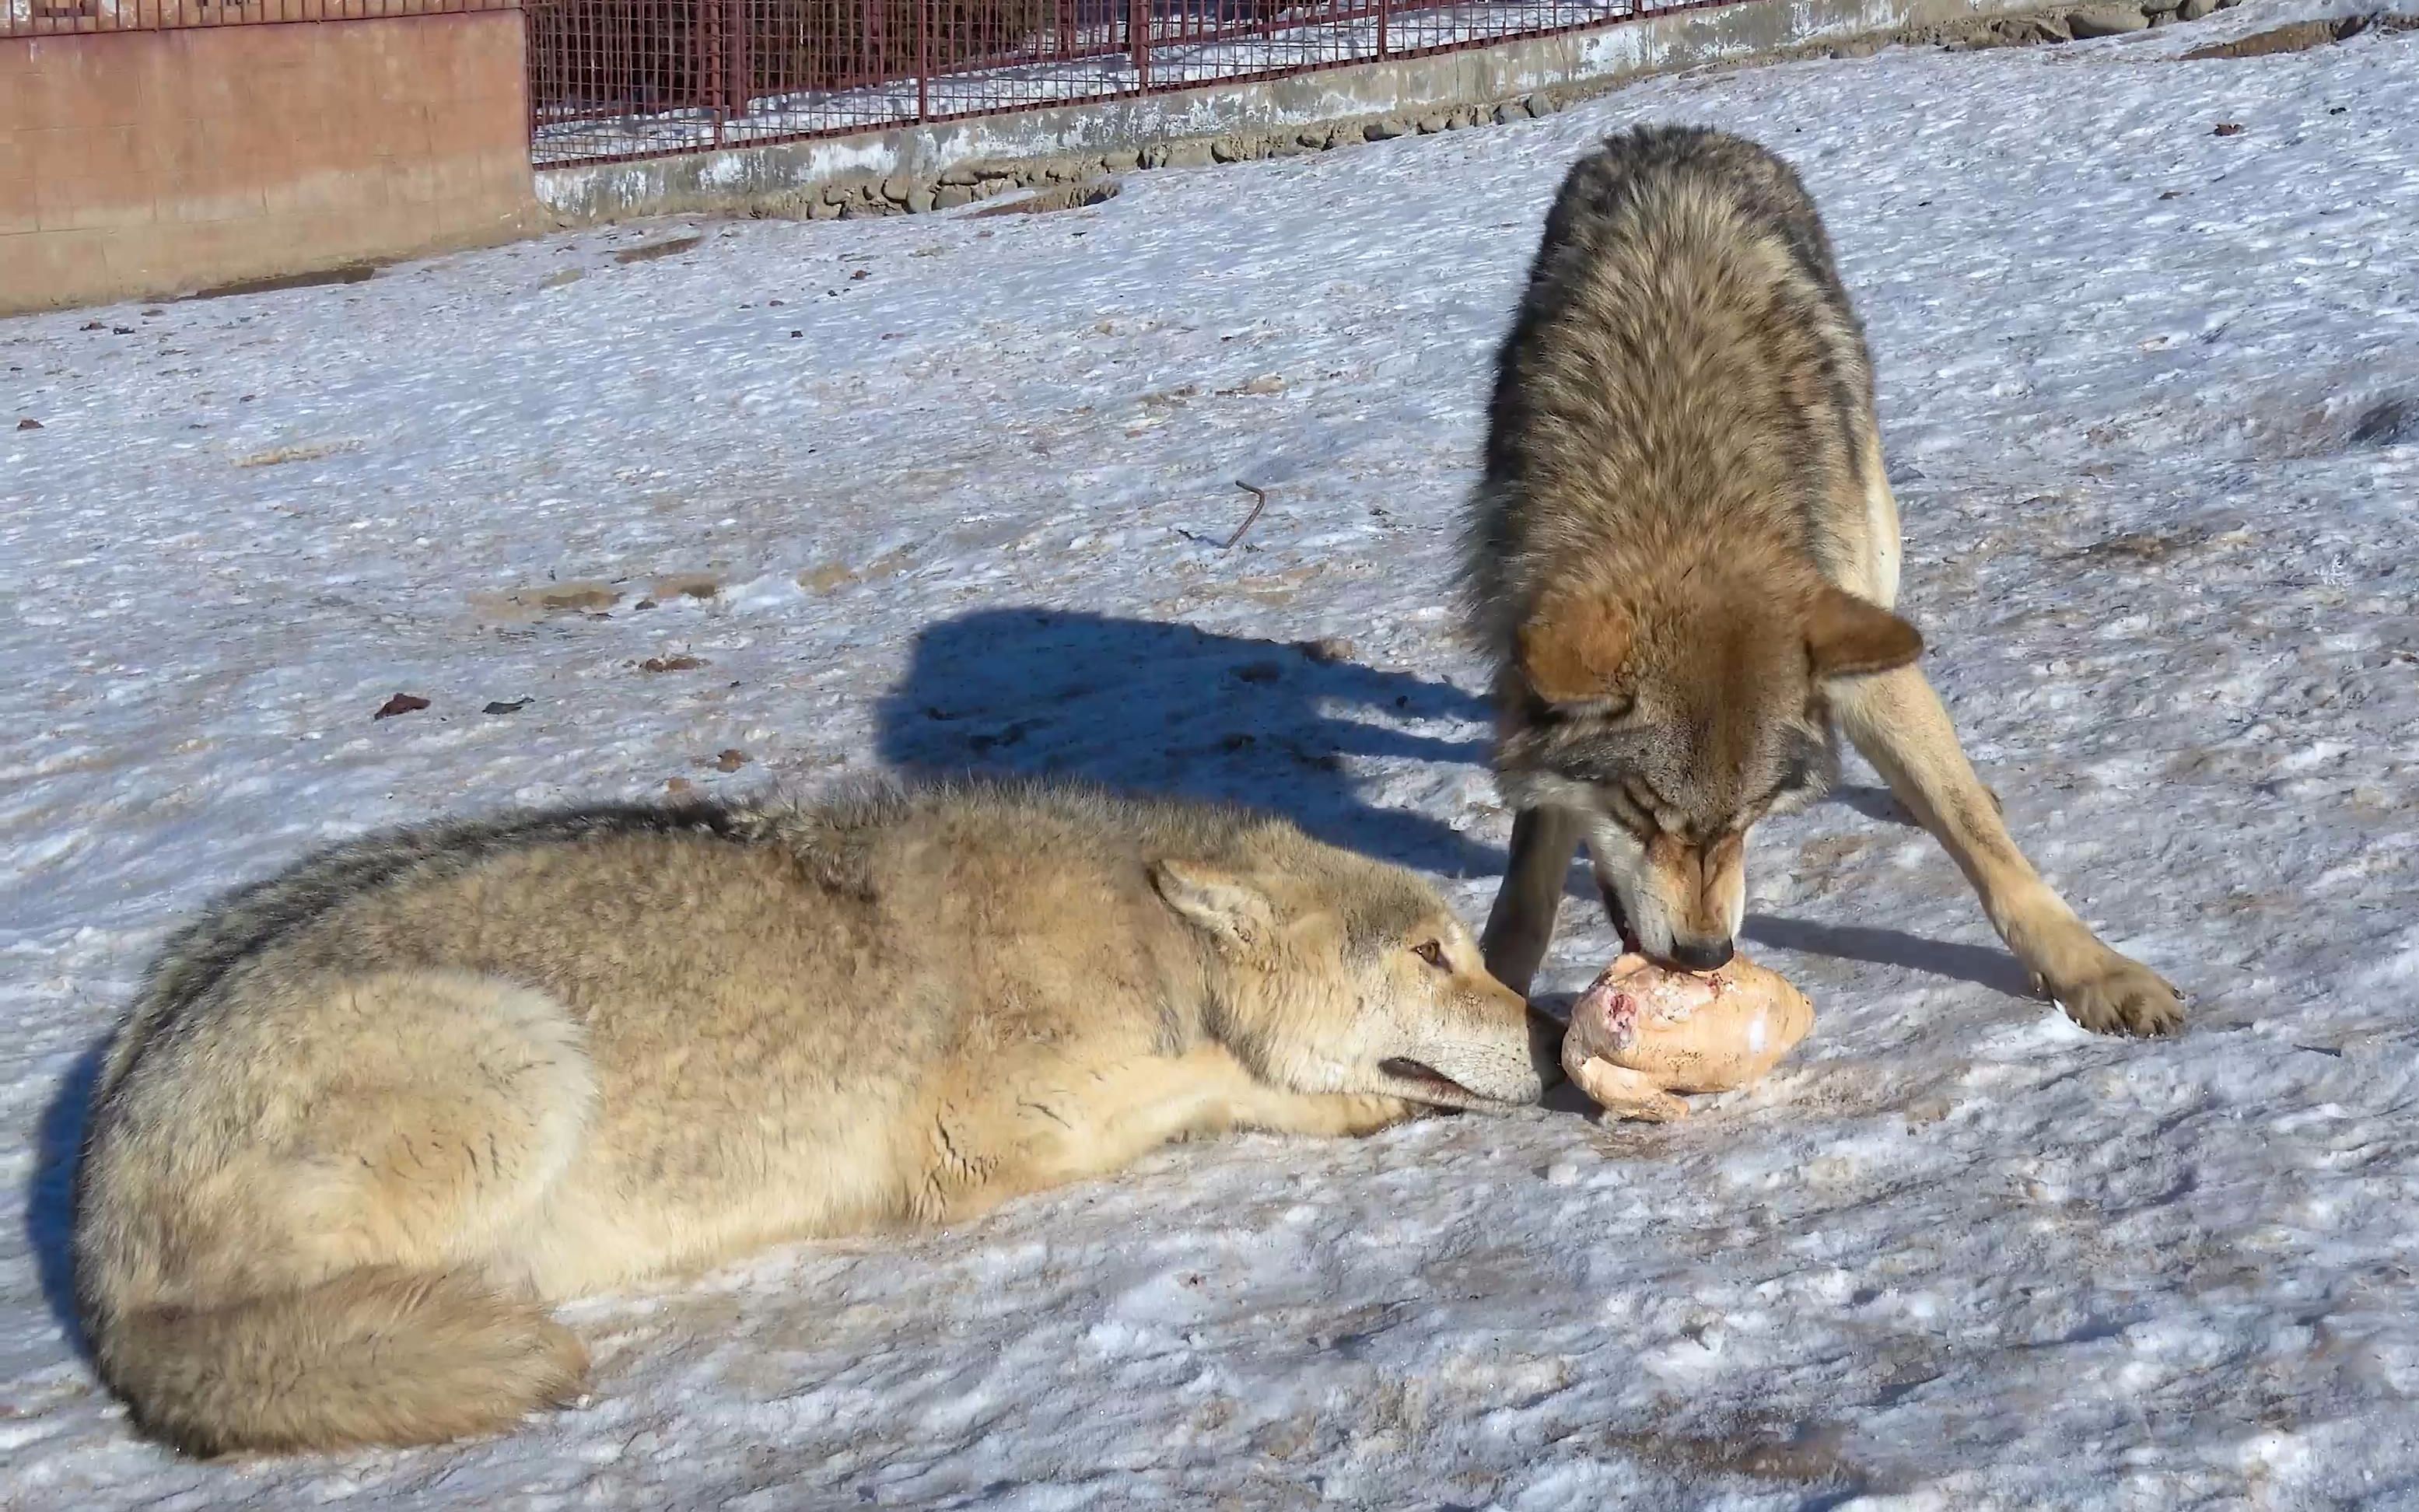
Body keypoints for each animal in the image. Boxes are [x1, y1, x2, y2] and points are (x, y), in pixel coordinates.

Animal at [80, 779, 1548, 1451]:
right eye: (1432, 953)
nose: (1551, 1027)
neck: (1143, 938)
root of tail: (95, 1254)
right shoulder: (990, 1135)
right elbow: (1221, 1080)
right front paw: (1335, 1103)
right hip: (523, 1056)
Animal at [1461, 127, 2186, 1035]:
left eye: (1750, 817)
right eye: (1639, 811)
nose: (1706, 956)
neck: (1677, 483)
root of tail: (1675, 129)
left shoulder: (1852, 649)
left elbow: (1978, 837)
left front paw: (2093, 969)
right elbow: (1526, 888)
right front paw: (1486, 994)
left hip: (1872, 560)